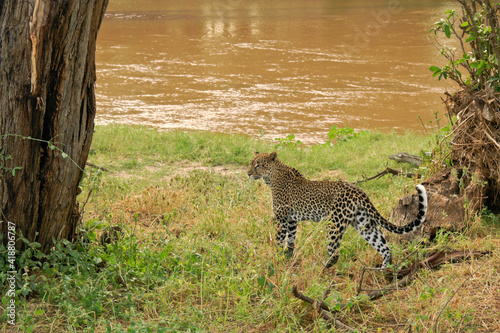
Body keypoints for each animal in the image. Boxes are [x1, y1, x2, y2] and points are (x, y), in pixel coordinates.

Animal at [248, 151, 428, 268]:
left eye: (258, 165)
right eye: (250, 163)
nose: (248, 173)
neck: (272, 177)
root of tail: (359, 190)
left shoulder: (281, 218)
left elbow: (279, 239)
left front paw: (276, 257)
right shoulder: (292, 220)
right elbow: (291, 240)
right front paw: (287, 257)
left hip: (335, 223)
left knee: (335, 253)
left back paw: (322, 268)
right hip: (364, 223)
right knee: (384, 248)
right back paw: (382, 271)